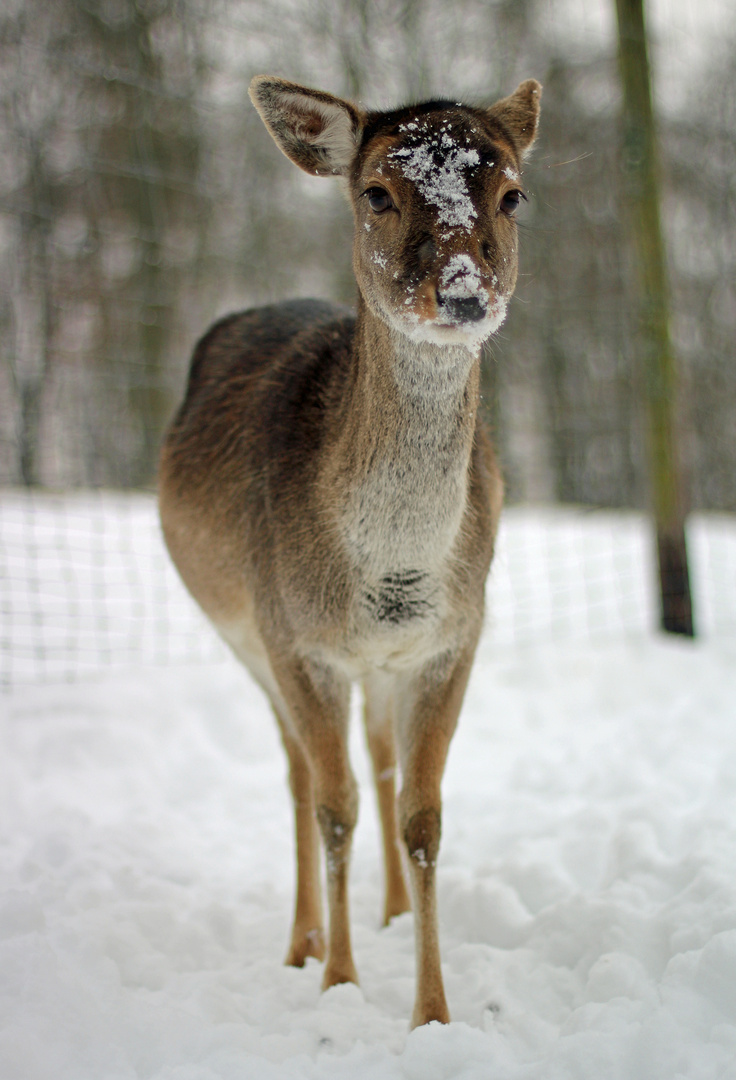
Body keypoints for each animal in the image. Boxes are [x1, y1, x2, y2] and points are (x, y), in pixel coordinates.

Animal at [158, 73, 540, 1019]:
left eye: (513, 194)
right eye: (376, 192)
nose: (465, 295)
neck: (390, 573)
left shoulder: (452, 637)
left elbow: (423, 815)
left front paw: (432, 1010)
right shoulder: (297, 639)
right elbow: (333, 808)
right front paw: (340, 981)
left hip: (375, 668)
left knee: (379, 764)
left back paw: (391, 914)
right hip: (247, 637)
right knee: (300, 774)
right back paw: (302, 943)